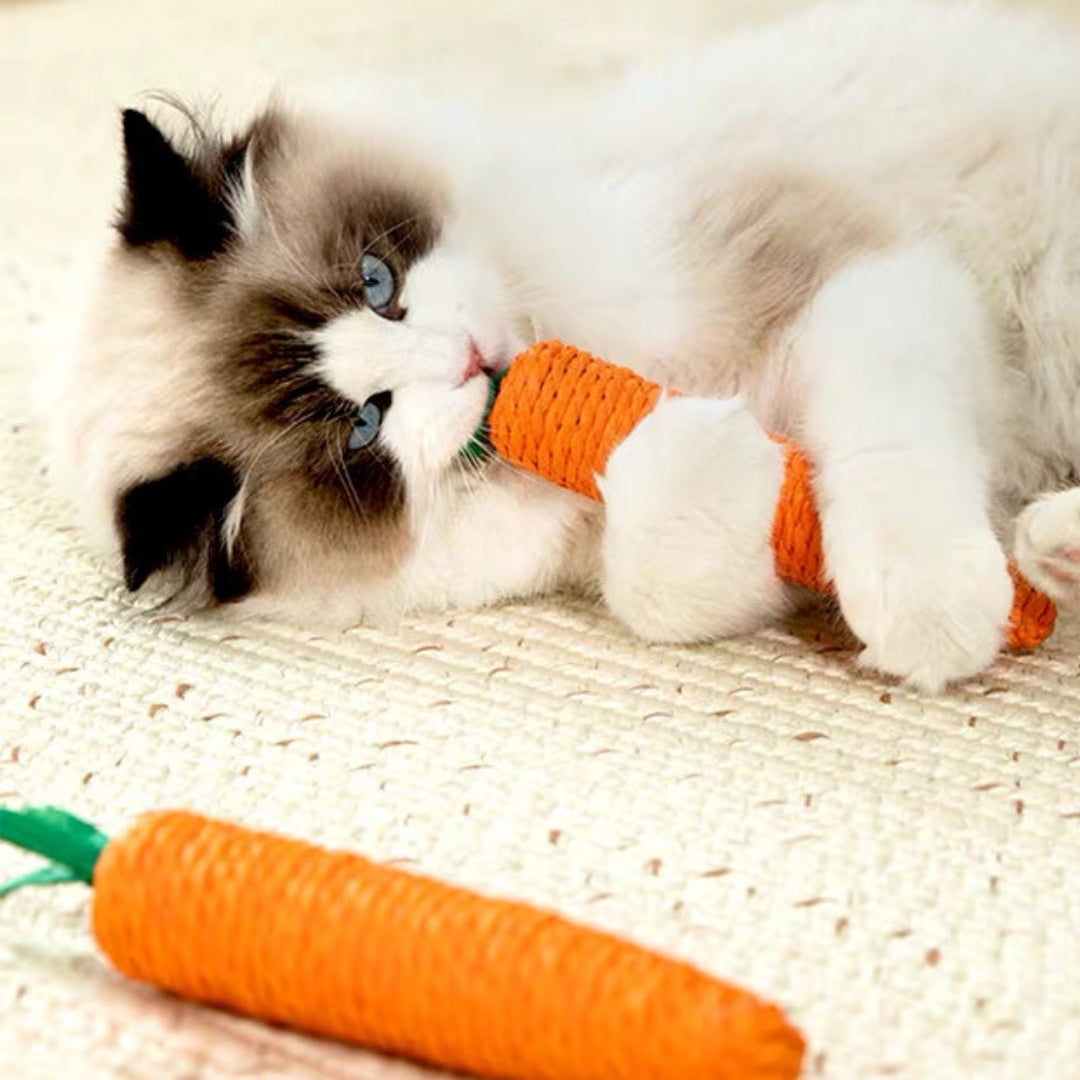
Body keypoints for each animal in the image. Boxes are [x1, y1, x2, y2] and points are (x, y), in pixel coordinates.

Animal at [44, 2, 1080, 691]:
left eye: (378, 284)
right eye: (364, 430)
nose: (467, 357)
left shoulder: (866, 278)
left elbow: (883, 460)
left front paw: (933, 614)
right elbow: (659, 583)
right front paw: (714, 451)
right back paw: (1046, 552)